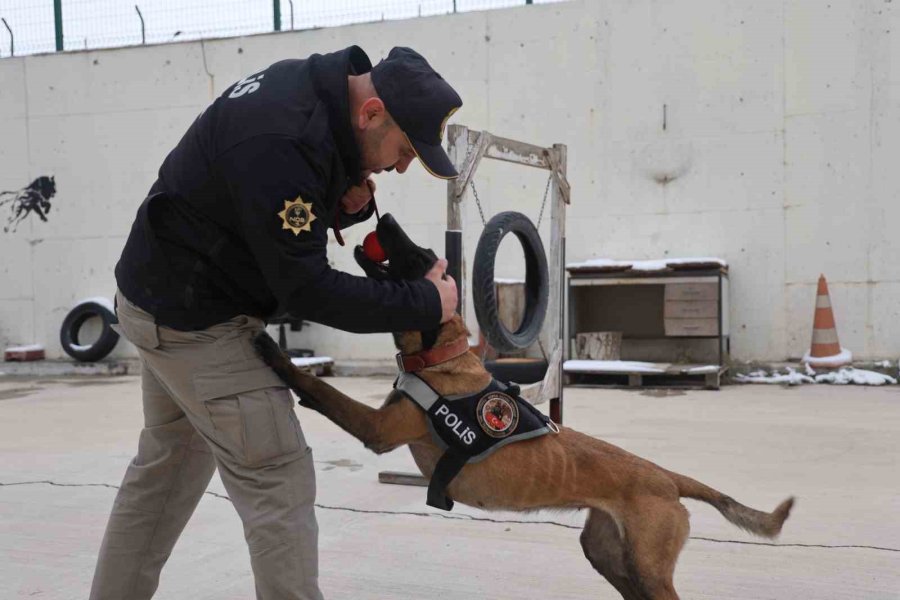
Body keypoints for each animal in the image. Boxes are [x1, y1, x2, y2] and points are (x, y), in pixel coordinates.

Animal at [255, 213, 796, 596]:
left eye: (421, 254)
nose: (382, 216)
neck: (442, 359)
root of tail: (667, 478)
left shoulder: (378, 429)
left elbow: (322, 391)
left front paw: (275, 353)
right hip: (607, 555)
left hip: (647, 567)